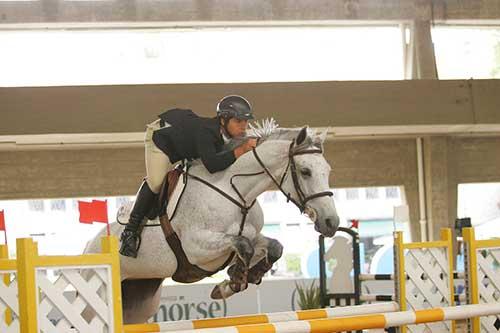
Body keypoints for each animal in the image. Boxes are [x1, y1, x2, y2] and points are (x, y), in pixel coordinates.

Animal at [84, 121, 340, 322]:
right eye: (305, 171)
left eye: (328, 170)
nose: (331, 222)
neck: (236, 190)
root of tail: (89, 246)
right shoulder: (196, 248)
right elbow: (243, 245)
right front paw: (233, 280)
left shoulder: (252, 234)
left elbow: (272, 246)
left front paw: (239, 278)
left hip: (139, 295)